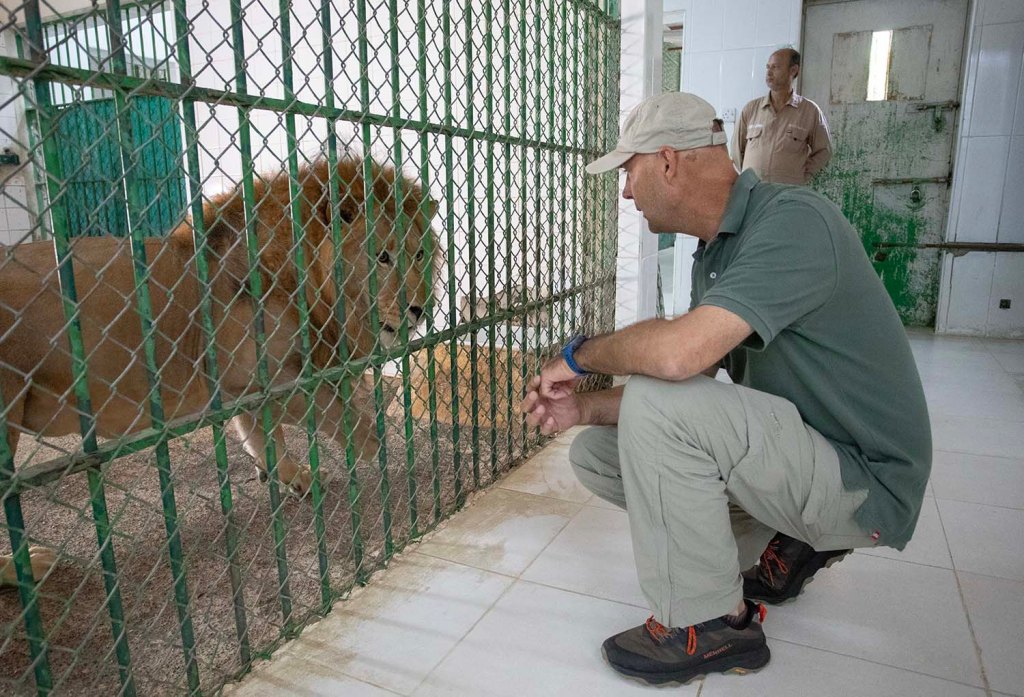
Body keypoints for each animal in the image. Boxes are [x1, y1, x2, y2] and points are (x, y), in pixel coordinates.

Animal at [0, 157, 438, 585]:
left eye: (419, 254)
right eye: (382, 257)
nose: (420, 309)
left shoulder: (244, 387)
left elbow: (263, 437)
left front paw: (295, 478)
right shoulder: (261, 377)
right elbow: (328, 408)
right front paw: (374, 444)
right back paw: (26, 566)